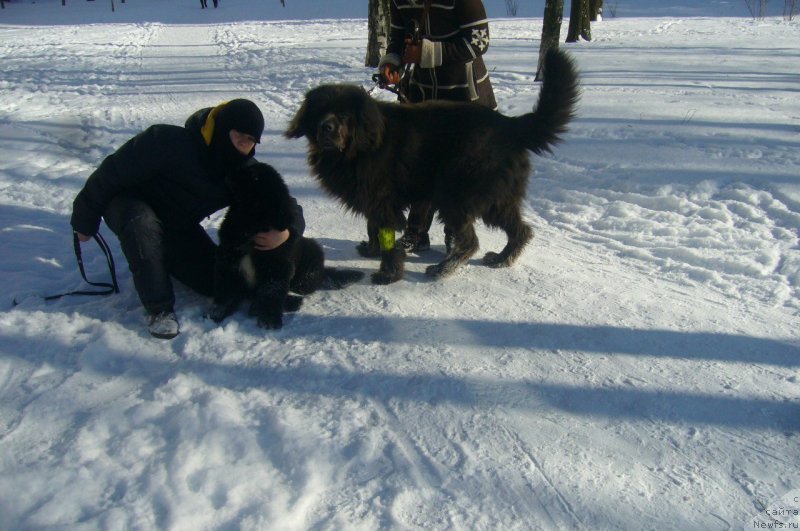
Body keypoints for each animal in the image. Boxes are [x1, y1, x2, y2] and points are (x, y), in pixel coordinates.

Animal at [211, 161, 364, 328]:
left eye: (253, 176)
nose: (228, 172)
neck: (252, 221)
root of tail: (323, 270)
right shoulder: (228, 261)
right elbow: (225, 292)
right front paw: (217, 314)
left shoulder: (277, 268)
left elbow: (271, 294)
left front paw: (269, 321)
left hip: (310, 259)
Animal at [284, 47, 580, 284]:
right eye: (319, 112)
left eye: (345, 114)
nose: (327, 128)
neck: (358, 146)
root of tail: (510, 124)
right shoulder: (373, 199)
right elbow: (373, 227)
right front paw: (371, 250)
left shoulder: (382, 199)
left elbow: (386, 236)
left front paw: (388, 274)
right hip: (497, 198)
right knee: (520, 229)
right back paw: (502, 258)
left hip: (456, 192)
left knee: (469, 241)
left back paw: (443, 269)